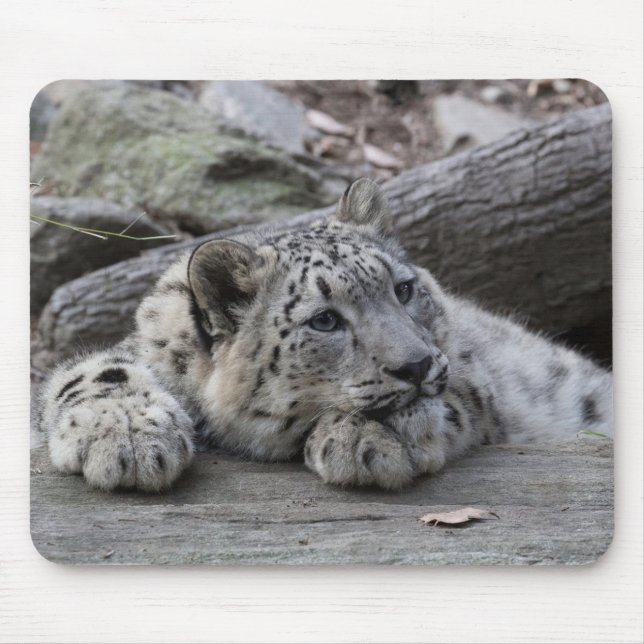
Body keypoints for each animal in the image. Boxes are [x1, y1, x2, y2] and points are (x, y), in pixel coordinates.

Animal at [37, 178, 613, 492]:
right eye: (325, 320)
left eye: (403, 289)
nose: (417, 366)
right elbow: (95, 370)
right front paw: (126, 438)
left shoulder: (473, 373)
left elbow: (457, 397)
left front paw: (366, 439)